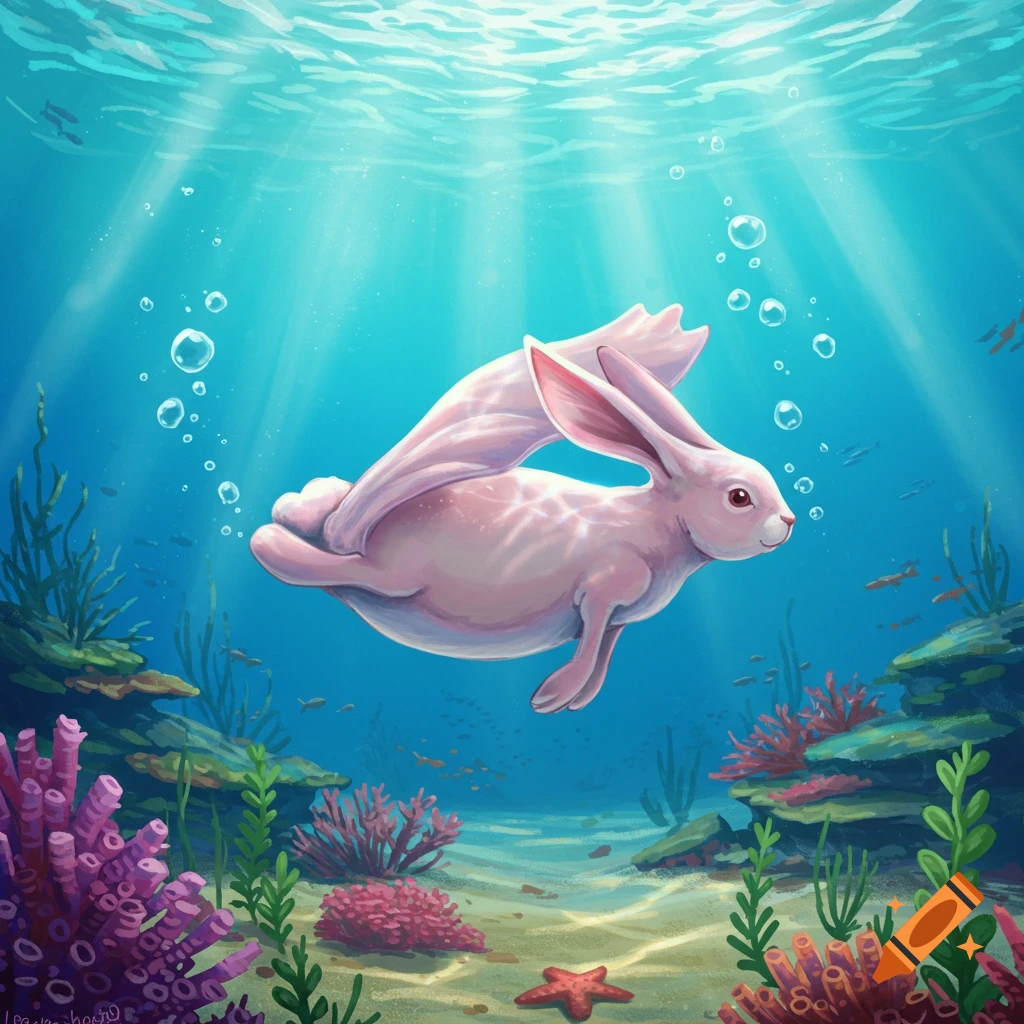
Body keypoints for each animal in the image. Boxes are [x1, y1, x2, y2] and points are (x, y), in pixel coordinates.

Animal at [250, 305, 794, 713]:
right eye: (739, 497)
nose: (789, 522)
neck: (660, 524)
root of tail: (352, 528)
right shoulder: (604, 589)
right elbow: (590, 644)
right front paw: (551, 696)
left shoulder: (621, 618)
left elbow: (603, 652)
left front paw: (575, 699)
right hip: (395, 575)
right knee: (309, 559)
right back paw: (276, 540)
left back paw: (304, 503)